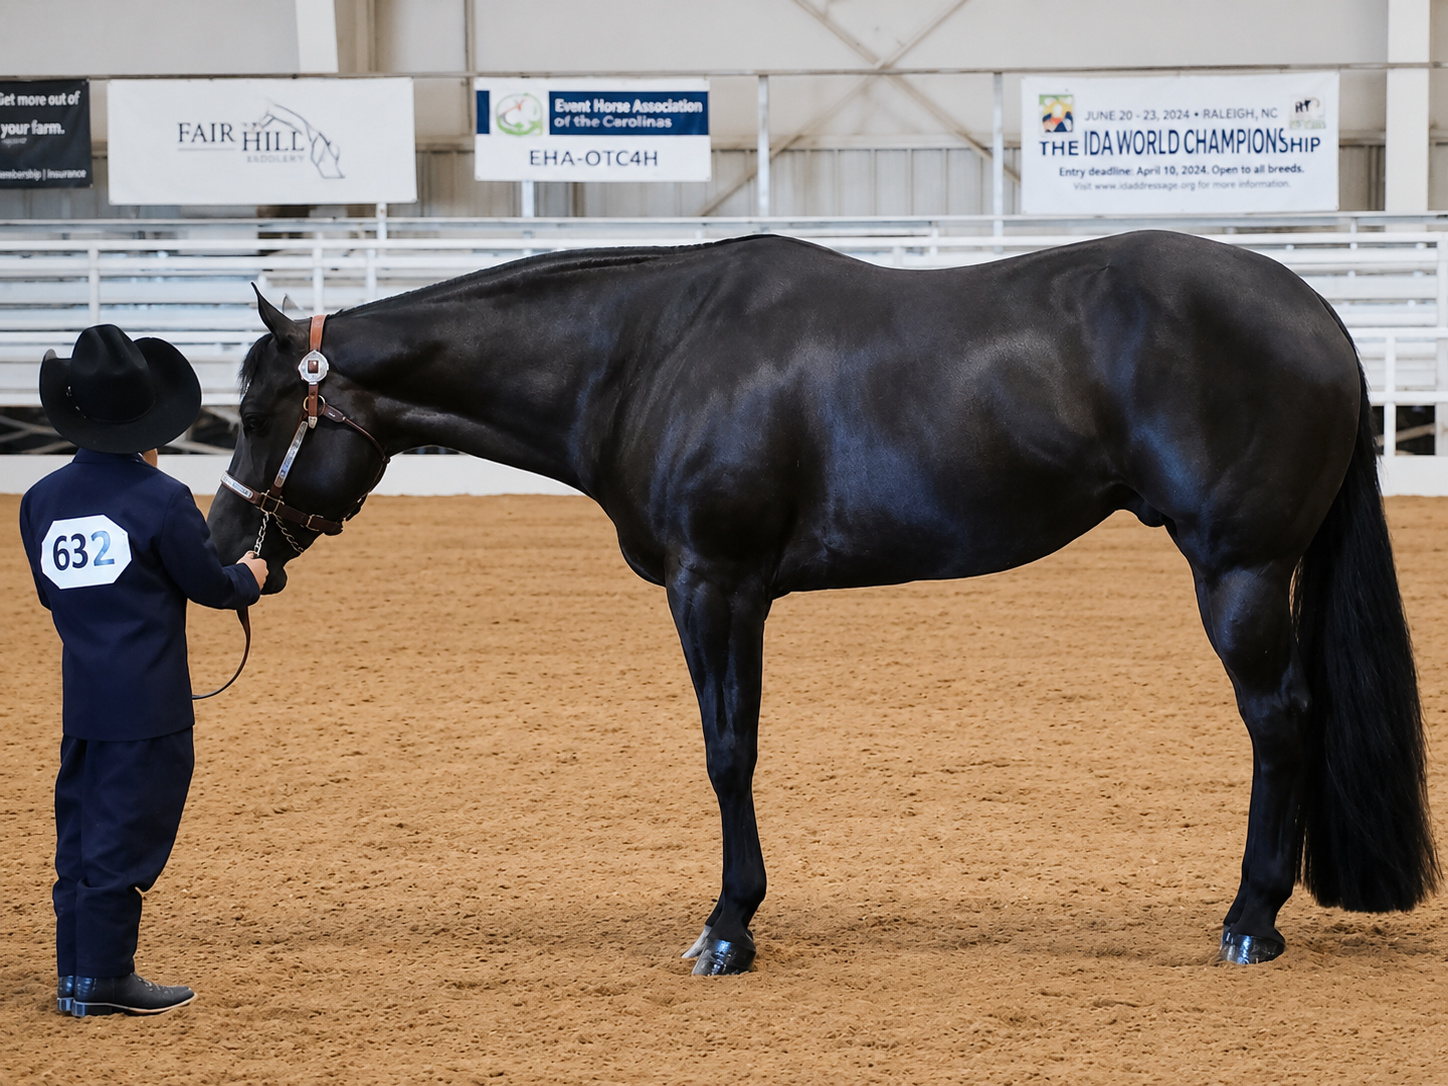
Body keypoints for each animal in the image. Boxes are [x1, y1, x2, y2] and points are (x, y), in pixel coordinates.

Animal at [207, 229, 1438, 975]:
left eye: (262, 411)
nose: (221, 546)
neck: (647, 354)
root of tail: (1317, 316)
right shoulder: (736, 593)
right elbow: (737, 749)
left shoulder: (716, 585)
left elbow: (726, 753)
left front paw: (725, 931)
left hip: (1237, 571)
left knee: (1280, 723)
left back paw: (1248, 923)